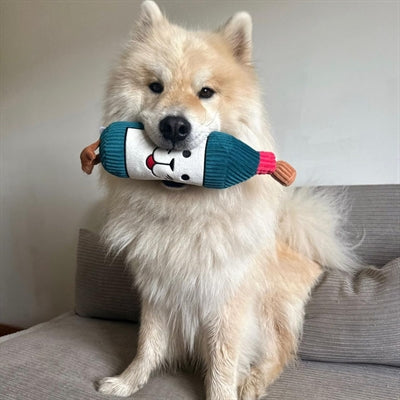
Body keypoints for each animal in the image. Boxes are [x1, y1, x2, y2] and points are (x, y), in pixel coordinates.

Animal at [96, 1, 356, 398]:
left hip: (270, 311)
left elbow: (222, 363)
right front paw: (127, 382)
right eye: (155, 87)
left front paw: (224, 391)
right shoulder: (157, 292)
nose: (175, 125)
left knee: (279, 354)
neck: (186, 215)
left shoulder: (227, 303)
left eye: (206, 92)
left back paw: (252, 382)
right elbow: (148, 344)